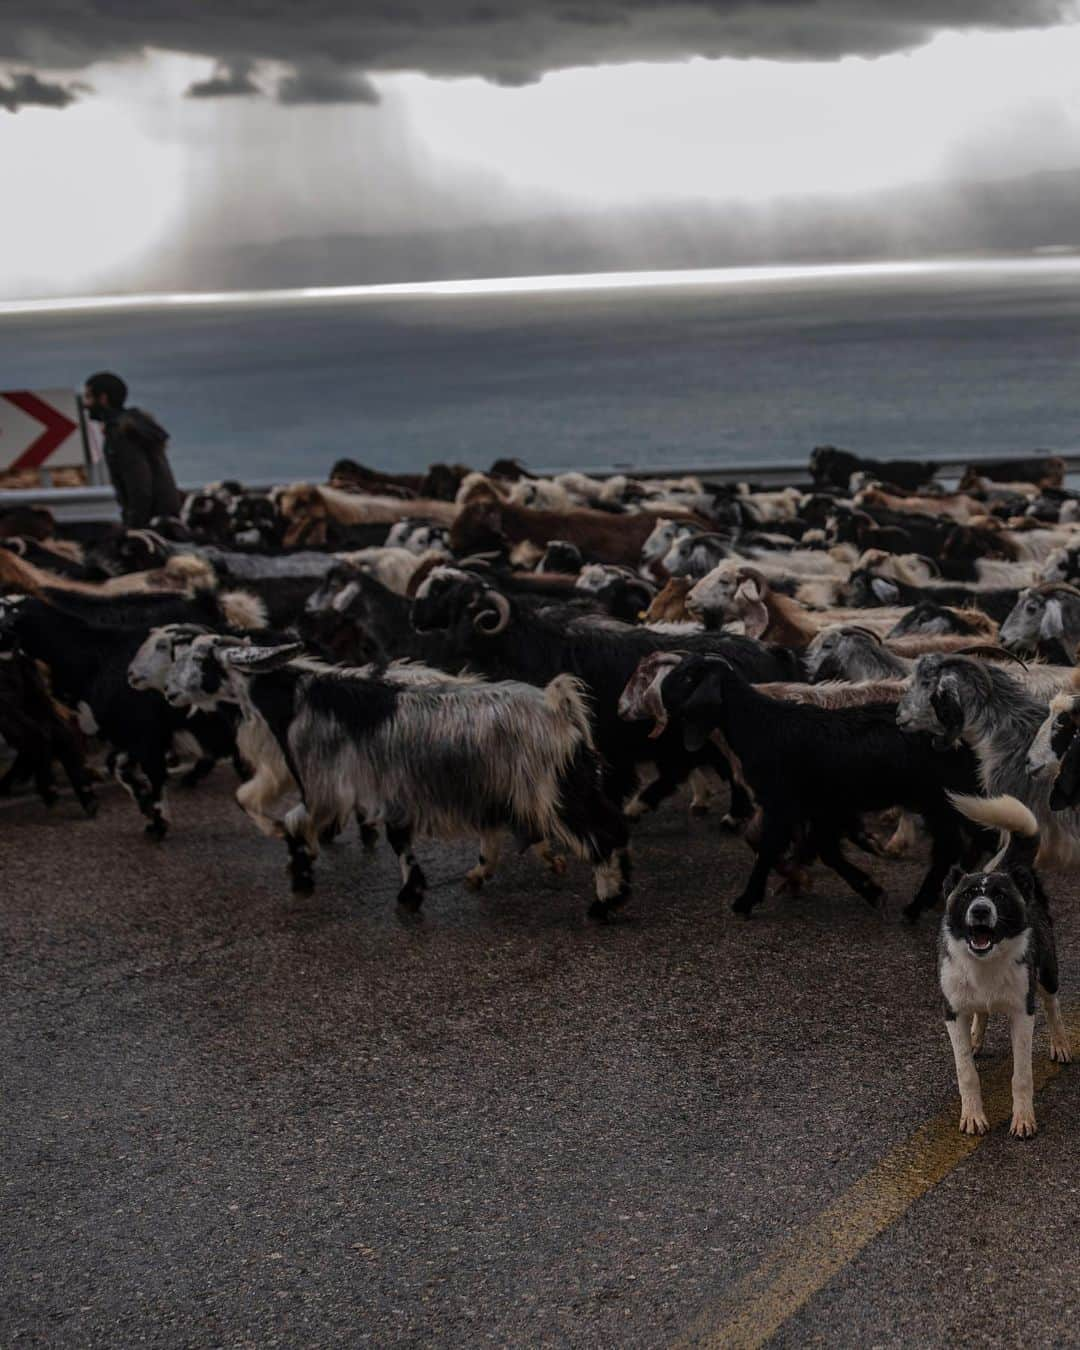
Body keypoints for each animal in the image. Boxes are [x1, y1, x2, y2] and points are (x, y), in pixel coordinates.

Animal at [939, 793, 1069, 1134]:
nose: (981, 910)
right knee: (981, 1012)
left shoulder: (1022, 1013)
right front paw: (972, 1115)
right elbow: (966, 1073)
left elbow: (1021, 1076)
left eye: (999, 896)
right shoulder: (952, 1012)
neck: (985, 962)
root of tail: (1011, 868)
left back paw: (1061, 1043)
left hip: (1048, 971)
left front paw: (1023, 1118)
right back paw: (976, 1038)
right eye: (969, 894)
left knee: (1053, 1004)